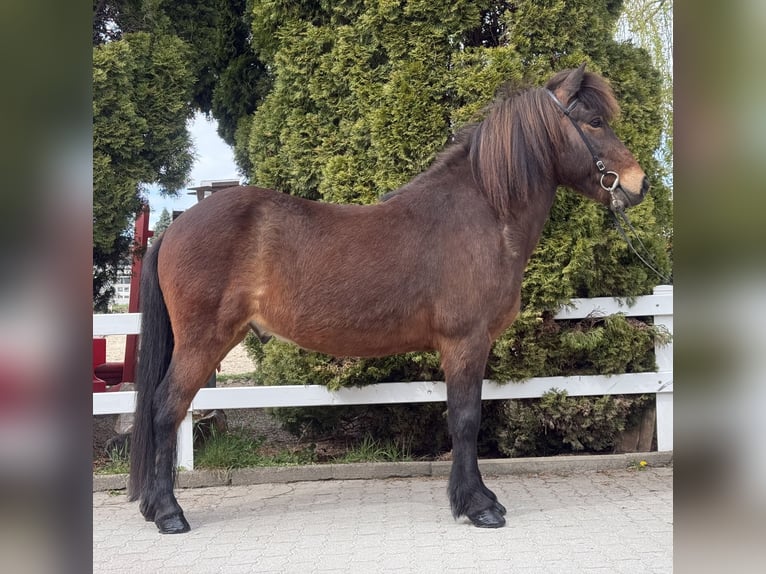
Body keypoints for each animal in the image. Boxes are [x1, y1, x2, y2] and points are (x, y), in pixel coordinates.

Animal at [129, 64, 649, 533]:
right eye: (595, 122)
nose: (638, 183)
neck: (481, 214)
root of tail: (175, 227)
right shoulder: (465, 342)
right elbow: (466, 419)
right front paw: (479, 506)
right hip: (203, 341)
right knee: (166, 408)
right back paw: (169, 514)